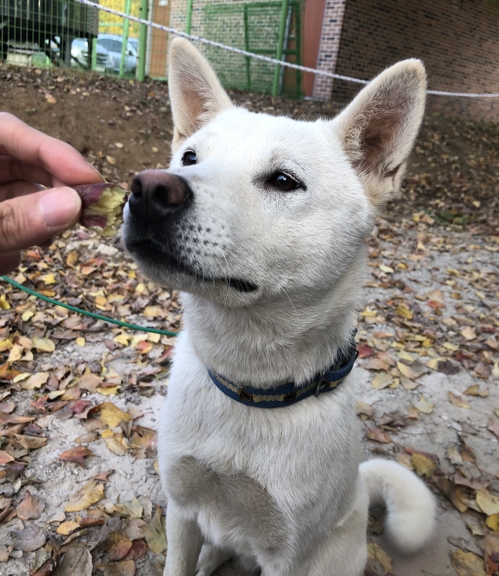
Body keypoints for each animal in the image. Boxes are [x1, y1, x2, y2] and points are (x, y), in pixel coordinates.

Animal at [123, 38, 436, 572]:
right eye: (188, 157)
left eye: (285, 180)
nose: (149, 188)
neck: (248, 388)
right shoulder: (182, 511)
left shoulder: (287, 555)